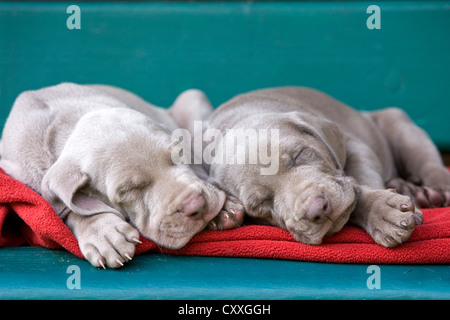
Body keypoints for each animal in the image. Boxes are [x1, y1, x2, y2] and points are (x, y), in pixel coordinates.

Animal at [0, 82, 232, 268]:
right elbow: (67, 208)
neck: (65, 122)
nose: (197, 205)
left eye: (179, 153)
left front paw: (225, 208)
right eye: (128, 190)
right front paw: (103, 234)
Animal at [177, 87, 450, 248]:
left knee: (430, 165)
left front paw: (382, 210)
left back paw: (433, 192)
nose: (317, 209)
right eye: (260, 204)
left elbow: (360, 181)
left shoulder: (354, 144)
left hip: (402, 127)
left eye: (299, 155)